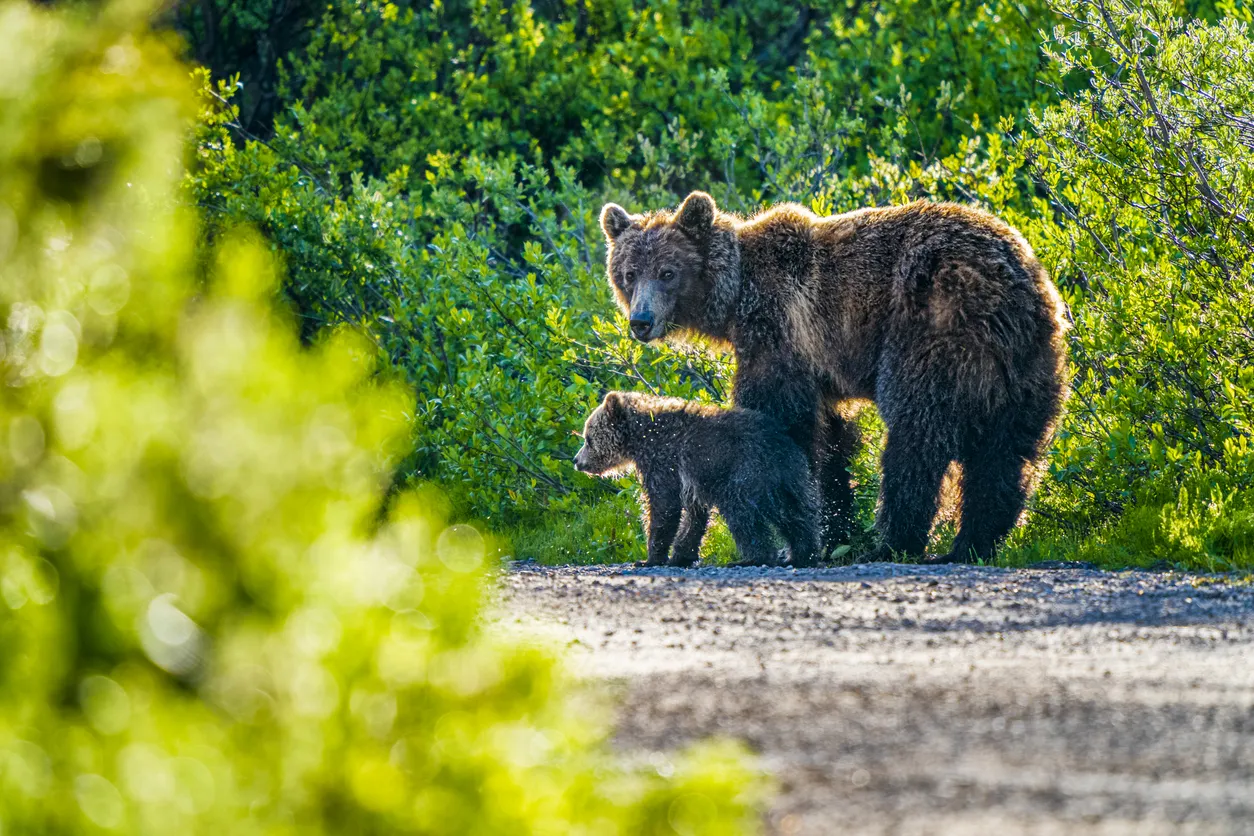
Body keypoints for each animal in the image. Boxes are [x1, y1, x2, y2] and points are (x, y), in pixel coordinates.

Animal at [572, 391, 821, 567]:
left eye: (588, 438)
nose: (576, 460)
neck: (640, 437)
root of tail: (783, 442)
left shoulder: (664, 461)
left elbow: (664, 505)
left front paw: (650, 558)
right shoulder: (693, 480)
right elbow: (694, 516)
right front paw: (681, 556)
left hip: (746, 470)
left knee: (741, 512)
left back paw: (752, 558)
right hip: (788, 478)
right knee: (794, 515)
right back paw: (801, 554)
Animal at [598, 192, 1068, 564]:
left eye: (668, 272)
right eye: (628, 274)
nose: (641, 321)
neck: (734, 300)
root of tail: (1009, 283)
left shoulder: (779, 332)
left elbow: (782, 424)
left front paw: (797, 539)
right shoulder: (821, 369)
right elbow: (833, 442)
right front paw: (835, 528)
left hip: (932, 331)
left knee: (916, 434)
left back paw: (893, 541)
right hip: (1026, 365)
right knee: (1007, 453)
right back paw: (970, 544)